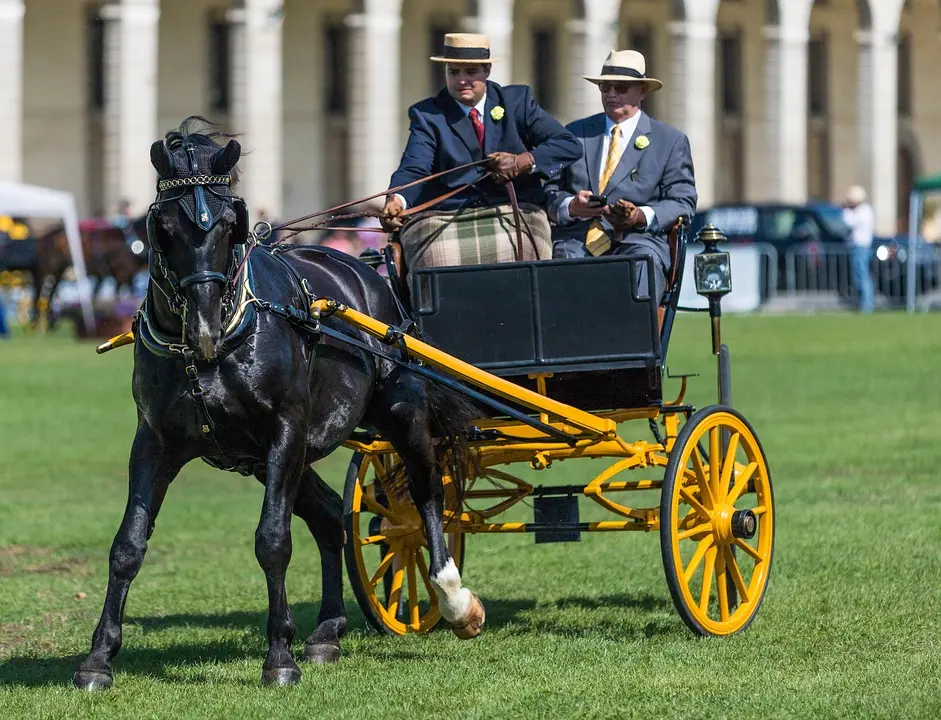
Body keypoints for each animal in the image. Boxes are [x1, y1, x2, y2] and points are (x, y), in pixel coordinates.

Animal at [74, 121, 484, 688]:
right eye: (164, 227)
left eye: (231, 223)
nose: (203, 326)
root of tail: (367, 270)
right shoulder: (155, 440)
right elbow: (127, 545)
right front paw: (99, 657)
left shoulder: (286, 428)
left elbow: (273, 540)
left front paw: (279, 657)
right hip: (275, 457)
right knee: (332, 516)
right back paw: (328, 631)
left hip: (397, 413)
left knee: (424, 495)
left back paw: (452, 597)